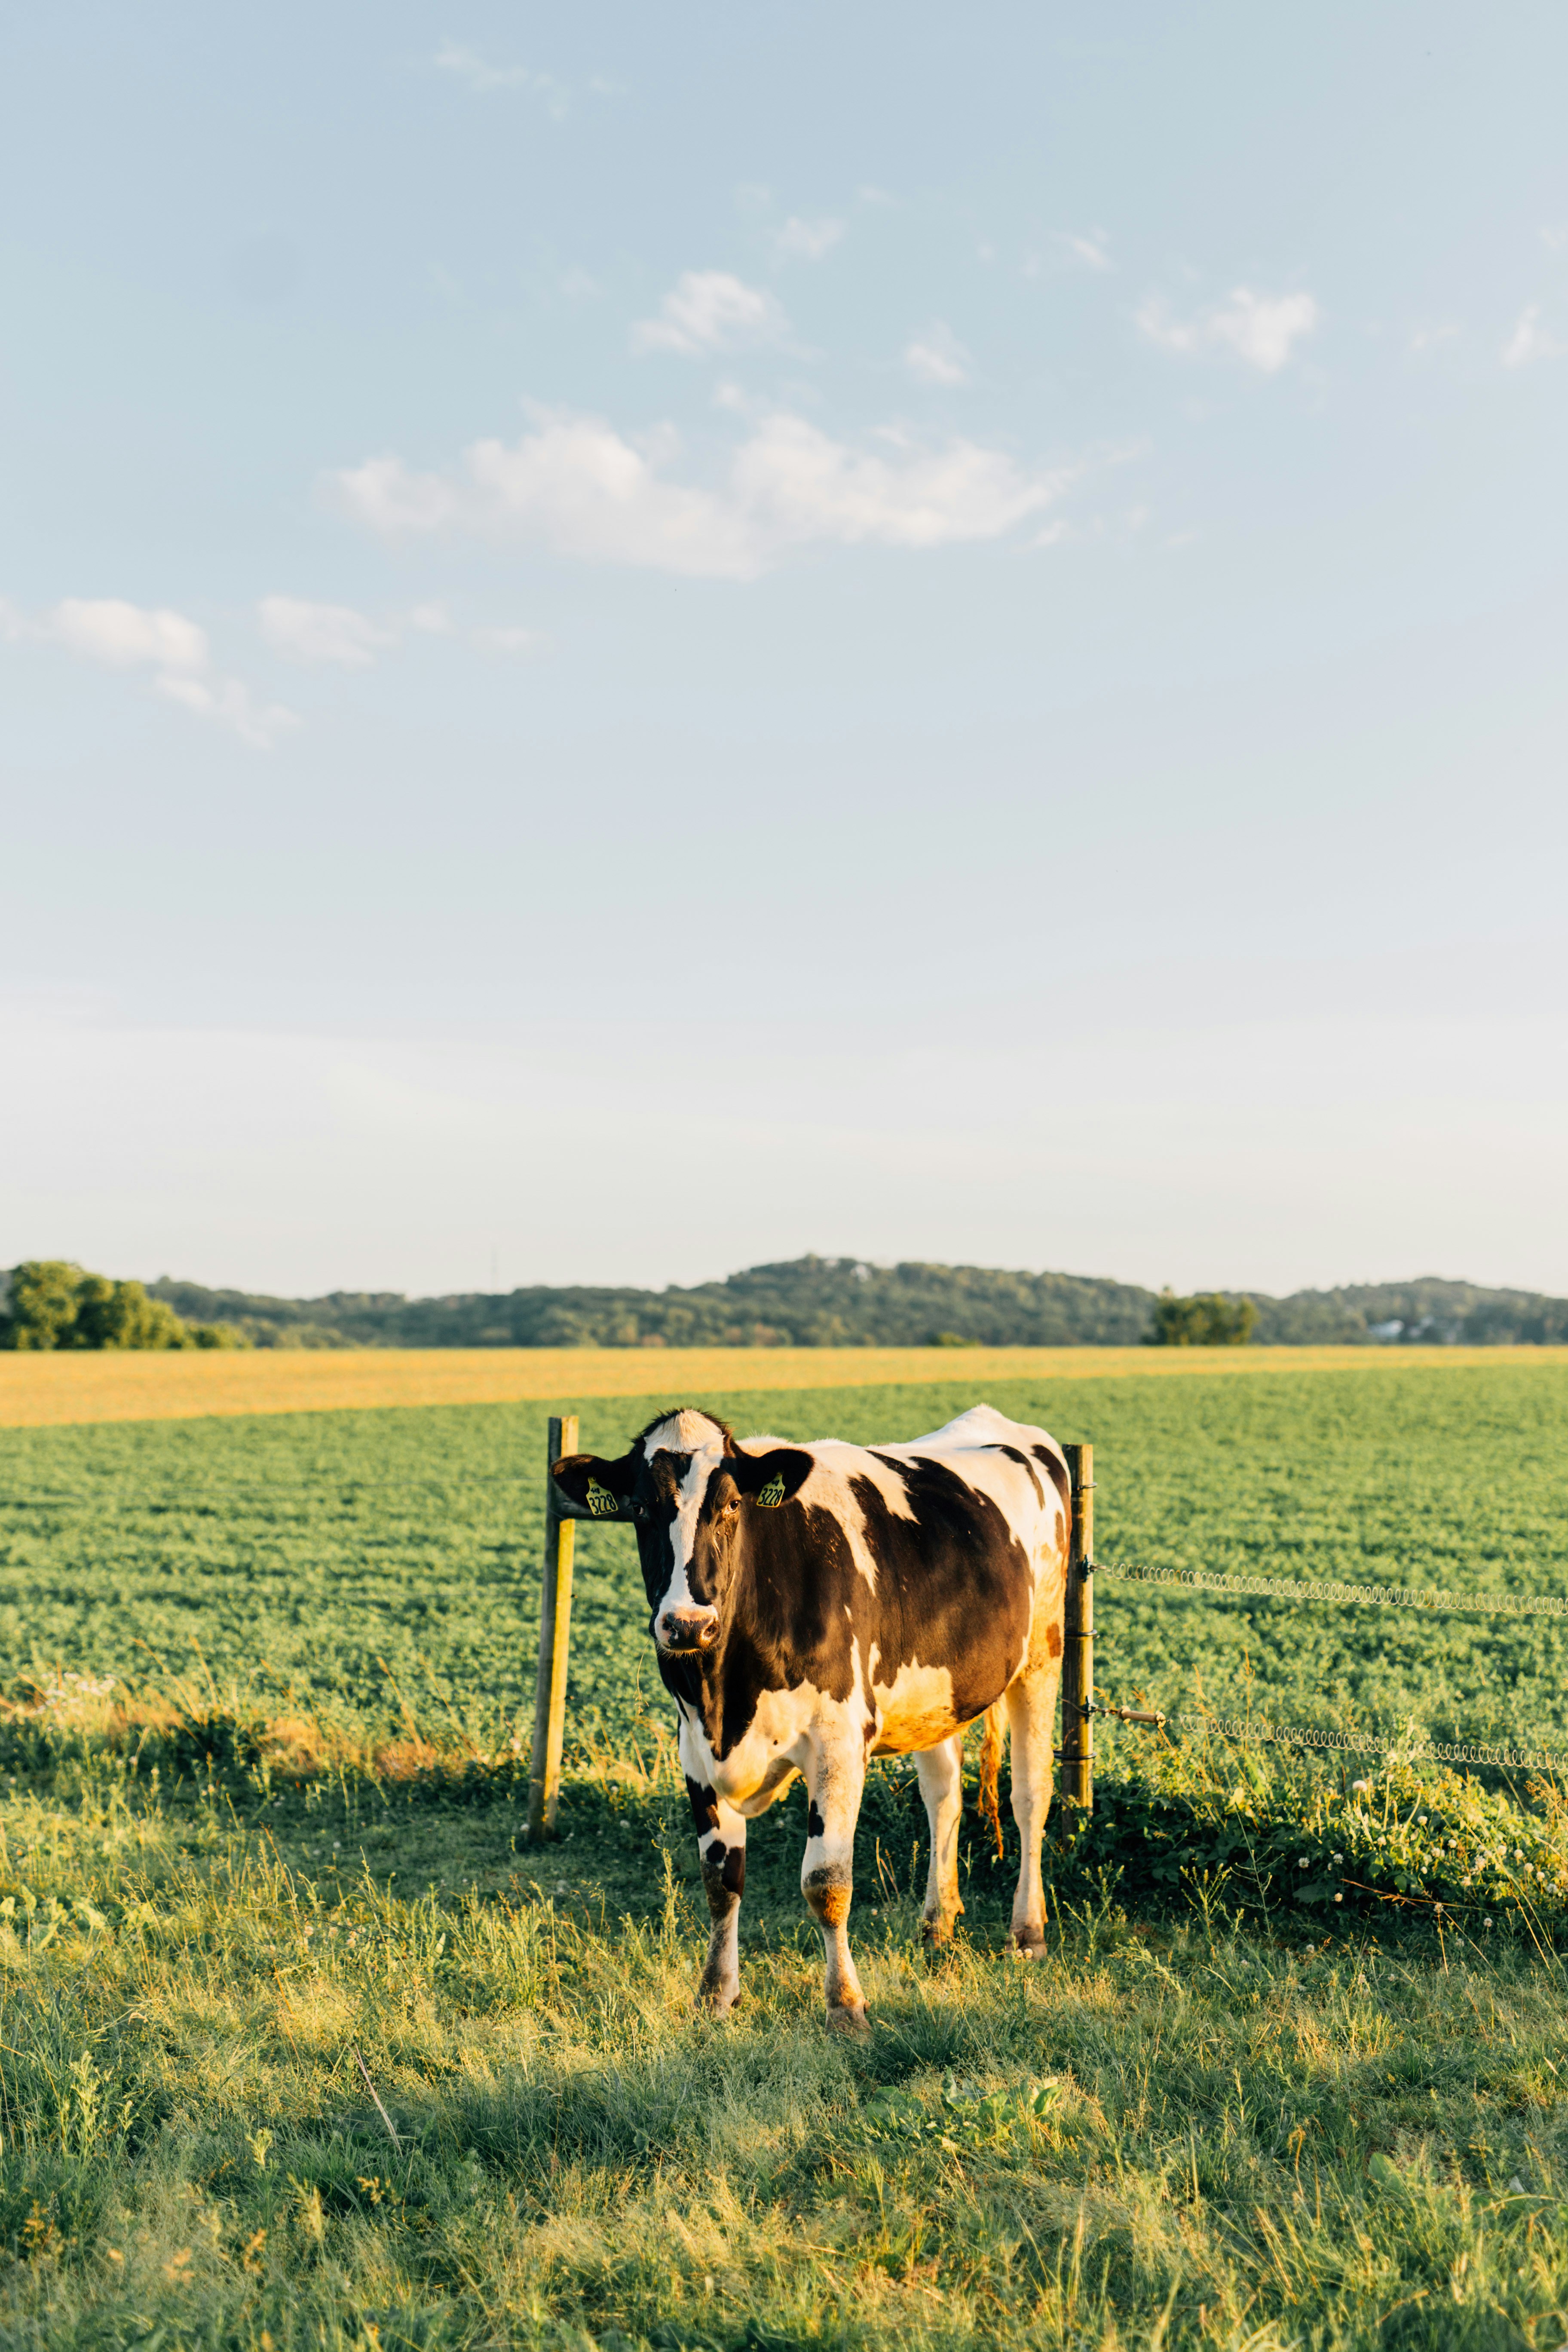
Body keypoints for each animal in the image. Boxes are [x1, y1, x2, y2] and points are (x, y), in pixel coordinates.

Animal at [551, 1401, 1070, 2030]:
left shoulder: (838, 1743)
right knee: (944, 1796)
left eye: (732, 1505)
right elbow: (720, 1881)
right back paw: (936, 1926)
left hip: (1042, 1653)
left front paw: (846, 2006)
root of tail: (1007, 1426)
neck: (726, 1692)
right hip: (936, 1695)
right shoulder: (696, 1752)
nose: (687, 1624)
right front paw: (716, 1995)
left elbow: (826, 1883)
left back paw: (1028, 1932)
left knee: (1030, 1795)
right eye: (642, 1508)